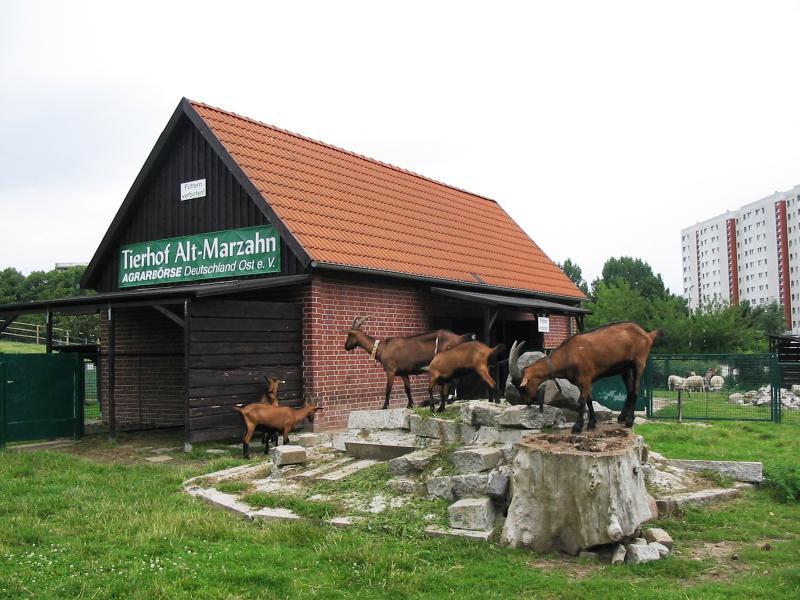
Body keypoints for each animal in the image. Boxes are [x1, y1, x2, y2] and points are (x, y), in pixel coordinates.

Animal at [342, 316, 476, 410]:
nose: (346, 347)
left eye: (349, 334)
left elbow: (388, 389)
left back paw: (448, 400)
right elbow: (408, 389)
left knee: (453, 381)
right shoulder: (403, 372)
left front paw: (384, 406)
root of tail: (459, 338)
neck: (382, 347)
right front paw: (410, 404)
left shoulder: (390, 370)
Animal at [510, 324, 664, 432]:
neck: (568, 354)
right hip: (624, 369)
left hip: (639, 363)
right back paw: (621, 417)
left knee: (636, 390)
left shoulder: (585, 377)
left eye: (522, 386)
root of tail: (648, 335)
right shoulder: (583, 382)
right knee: (630, 390)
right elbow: (589, 400)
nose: (527, 402)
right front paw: (591, 423)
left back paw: (629, 421)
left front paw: (577, 427)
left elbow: (581, 402)